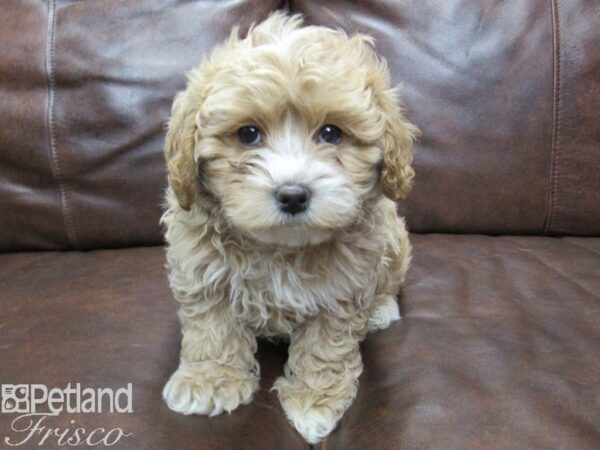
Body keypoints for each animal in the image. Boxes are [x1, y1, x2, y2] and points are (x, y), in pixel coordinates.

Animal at [162, 12, 420, 444]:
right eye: (248, 134)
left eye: (331, 133)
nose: (294, 195)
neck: (279, 248)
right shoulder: (202, 270)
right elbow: (213, 328)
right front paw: (210, 382)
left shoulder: (341, 288)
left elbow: (325, 346)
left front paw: (314, 403)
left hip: (394, 242)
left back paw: (381, 310)